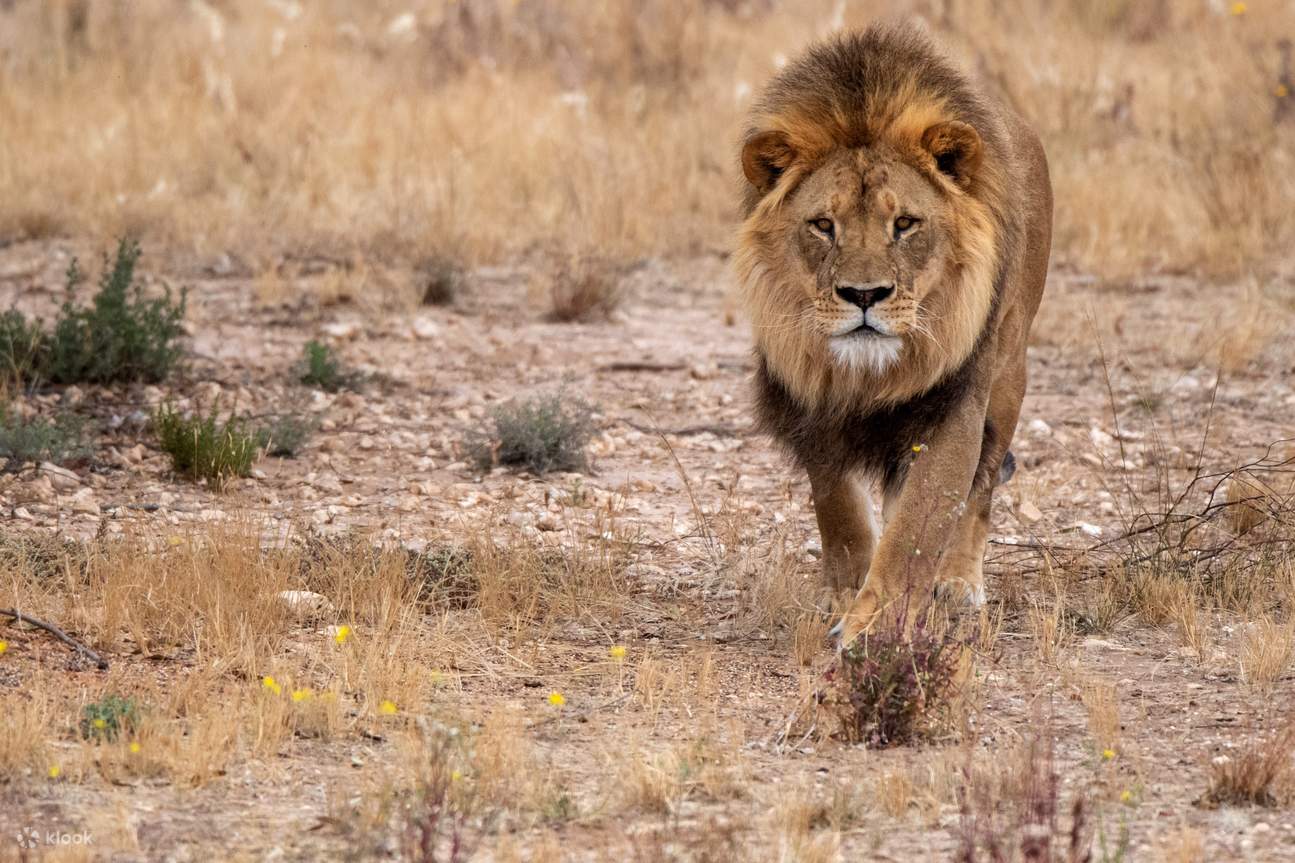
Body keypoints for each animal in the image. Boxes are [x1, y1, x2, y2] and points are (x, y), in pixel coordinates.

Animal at [735, 24, 1052, 646]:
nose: (864, 296)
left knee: (981, 488)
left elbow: (917, 528)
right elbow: (836, 504)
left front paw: (875, 625)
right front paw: (844, 594)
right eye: (823, 225)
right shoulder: (812, 400)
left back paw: (958, 585)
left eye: (904, 223)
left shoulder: (952, 402)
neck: (868, 373)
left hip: (1008, 377)